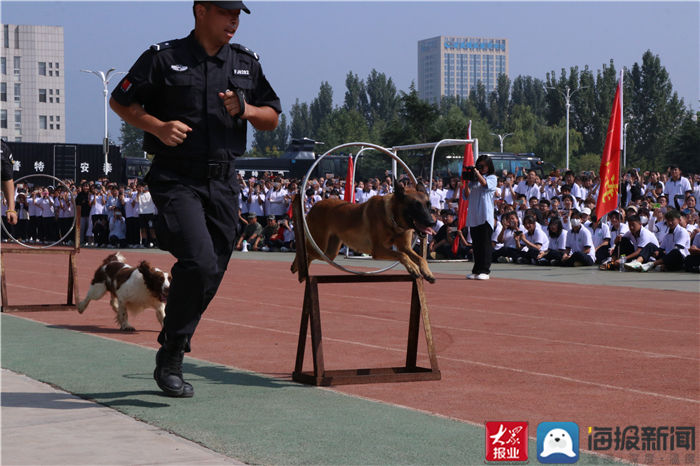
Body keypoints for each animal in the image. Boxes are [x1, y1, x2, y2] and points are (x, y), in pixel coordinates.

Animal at [292, 177, 434, 280]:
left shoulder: (406, 247)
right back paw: (296, 266)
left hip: (329, 253)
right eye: (415, 206)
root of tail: (316, 205)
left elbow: (419, 257)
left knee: (310, 255)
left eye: (428, 205)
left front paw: (426, 271)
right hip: (319, 245)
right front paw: (413, 267)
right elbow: (401, 254)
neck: (392, 218)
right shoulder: (378, 250)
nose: (432, 223)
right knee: (304, 251)